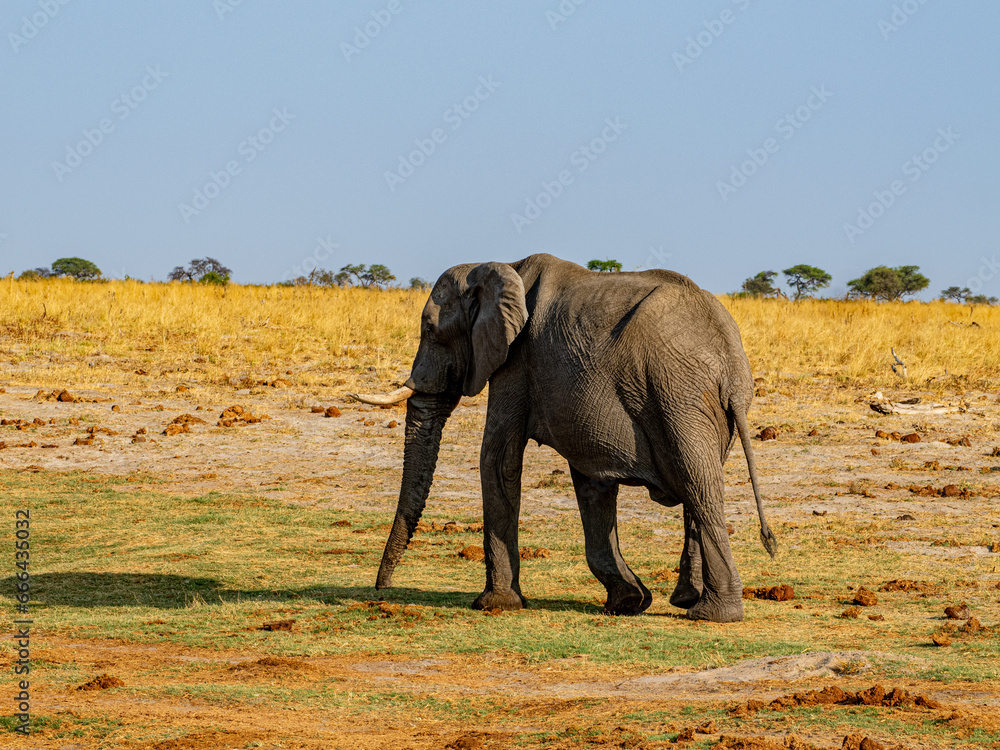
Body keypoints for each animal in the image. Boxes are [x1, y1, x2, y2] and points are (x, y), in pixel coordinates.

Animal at [352, 253, 775, 623]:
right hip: (697, 405)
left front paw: (495, 605)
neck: (499, 265)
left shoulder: (516, 361)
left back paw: (713, 615)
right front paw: (628, 602)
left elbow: (498, 459)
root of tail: (730, 362)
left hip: (680, 393)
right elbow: (591, 481)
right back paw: (687, 601)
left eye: (430, 330)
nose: (382, 588)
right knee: (696, 488)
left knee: (699, 487)